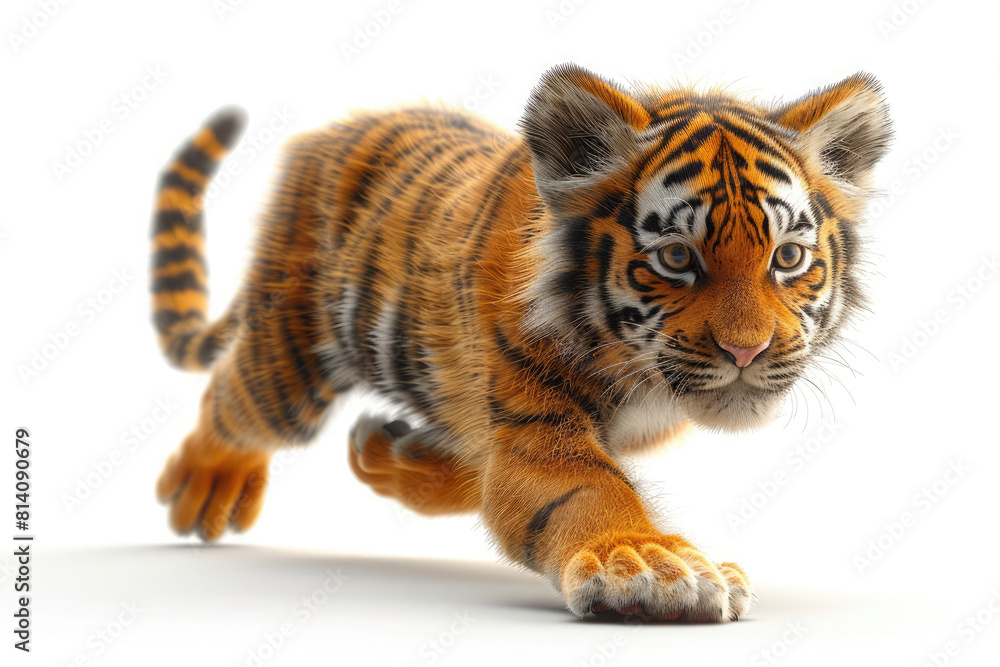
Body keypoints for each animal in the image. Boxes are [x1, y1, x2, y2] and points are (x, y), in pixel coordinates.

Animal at [149, 63, 891, 621]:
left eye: (788, 258)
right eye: (678, 257)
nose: (748, 352)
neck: (645, 379)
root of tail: (325, 134)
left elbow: (493, 481)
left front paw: (401, 458)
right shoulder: (538, 421)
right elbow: (583, 491)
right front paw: (648, 565)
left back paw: (386, 452)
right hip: (291, 362)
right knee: (235, 399)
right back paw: (204, 486)